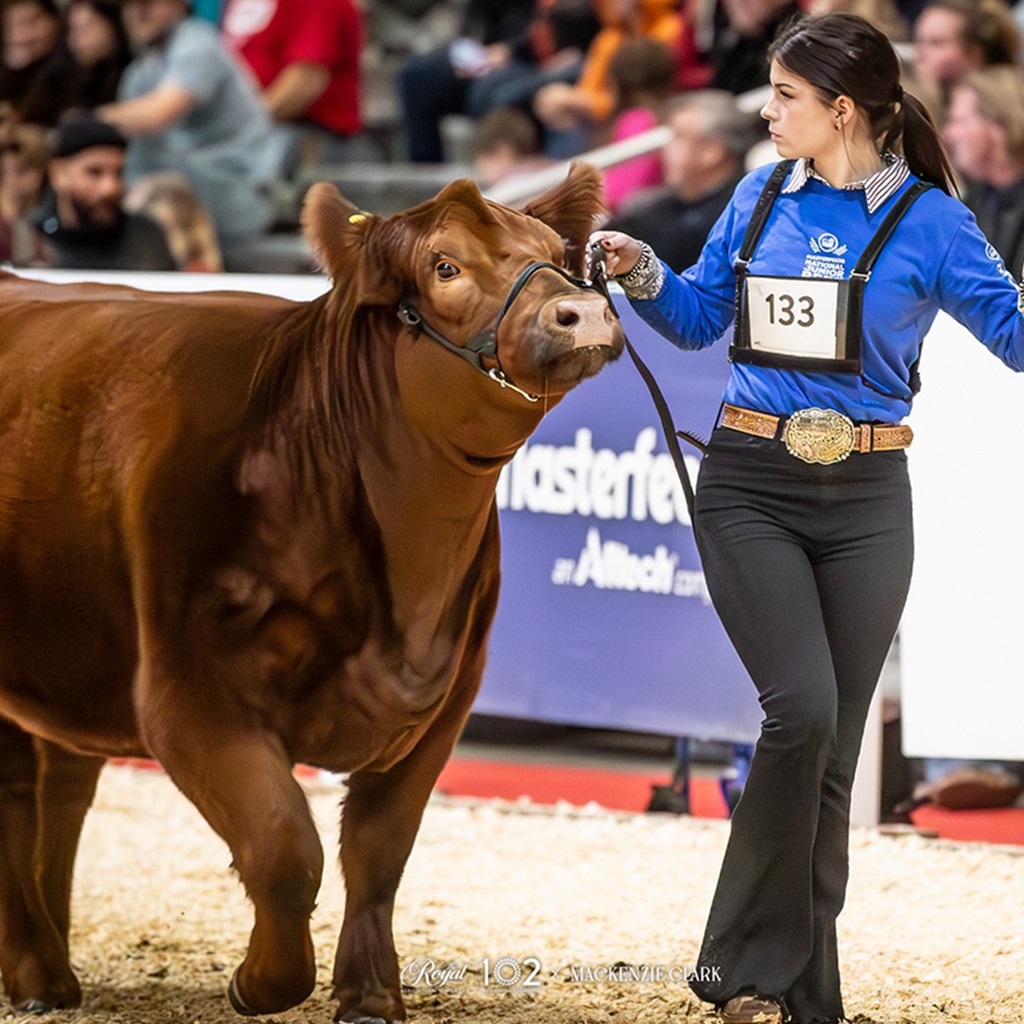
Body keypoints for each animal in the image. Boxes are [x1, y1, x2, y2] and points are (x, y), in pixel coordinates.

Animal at [0, 163, 624, 1023]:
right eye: (445, 266)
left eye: (559, 256)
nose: (584, 311)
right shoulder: (188, 697)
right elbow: (282, 845)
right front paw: (259, 981)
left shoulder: (445, 701)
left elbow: (379, 852)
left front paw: (370, 995)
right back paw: (33, 969)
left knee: (60, 789)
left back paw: (52, 968)